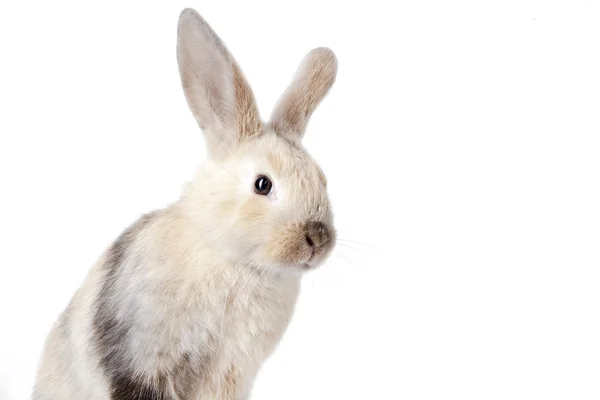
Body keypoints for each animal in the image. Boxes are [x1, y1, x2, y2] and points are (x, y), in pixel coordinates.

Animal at [31, 6, 338, 400]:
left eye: (322, 179)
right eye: (262, 184)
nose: (317, 237)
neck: (233, 262)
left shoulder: (229, 374)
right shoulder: (143, 361)